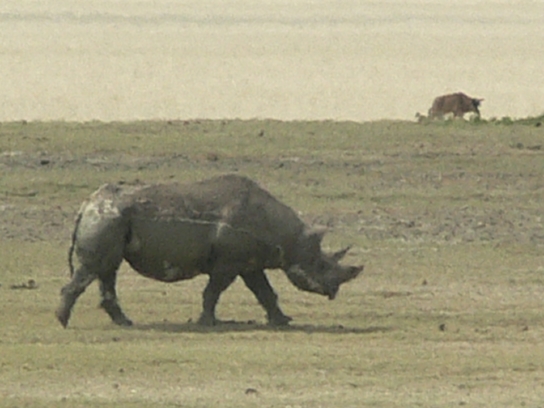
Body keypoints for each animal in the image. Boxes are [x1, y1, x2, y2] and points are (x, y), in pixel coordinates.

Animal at [56, 174, 363, 328]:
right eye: (321, 266)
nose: (333, 292)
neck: (289, 238)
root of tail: (86, 205)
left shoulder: (249, 262)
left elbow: (264, 292)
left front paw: (282, 321)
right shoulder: (228, 262)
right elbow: (213, 291)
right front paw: (207, 323)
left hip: (111, 220)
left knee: (107, 269)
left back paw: (124, 323)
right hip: (107, 219)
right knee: (96, 267)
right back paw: (63, 322)